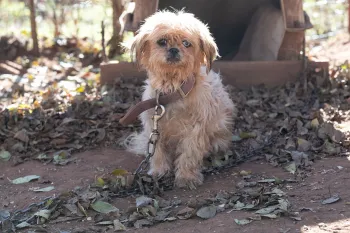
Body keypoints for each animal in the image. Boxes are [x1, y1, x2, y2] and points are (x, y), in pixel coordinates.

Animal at [124, 10, 237, 189]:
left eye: (186, 43)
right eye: (162, 42)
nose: (174, 49)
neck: (174, 89)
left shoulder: (195, 129)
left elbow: (190, 153)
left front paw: (187, 177)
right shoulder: (154, 126)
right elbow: (157, 152)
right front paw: (159, 171)